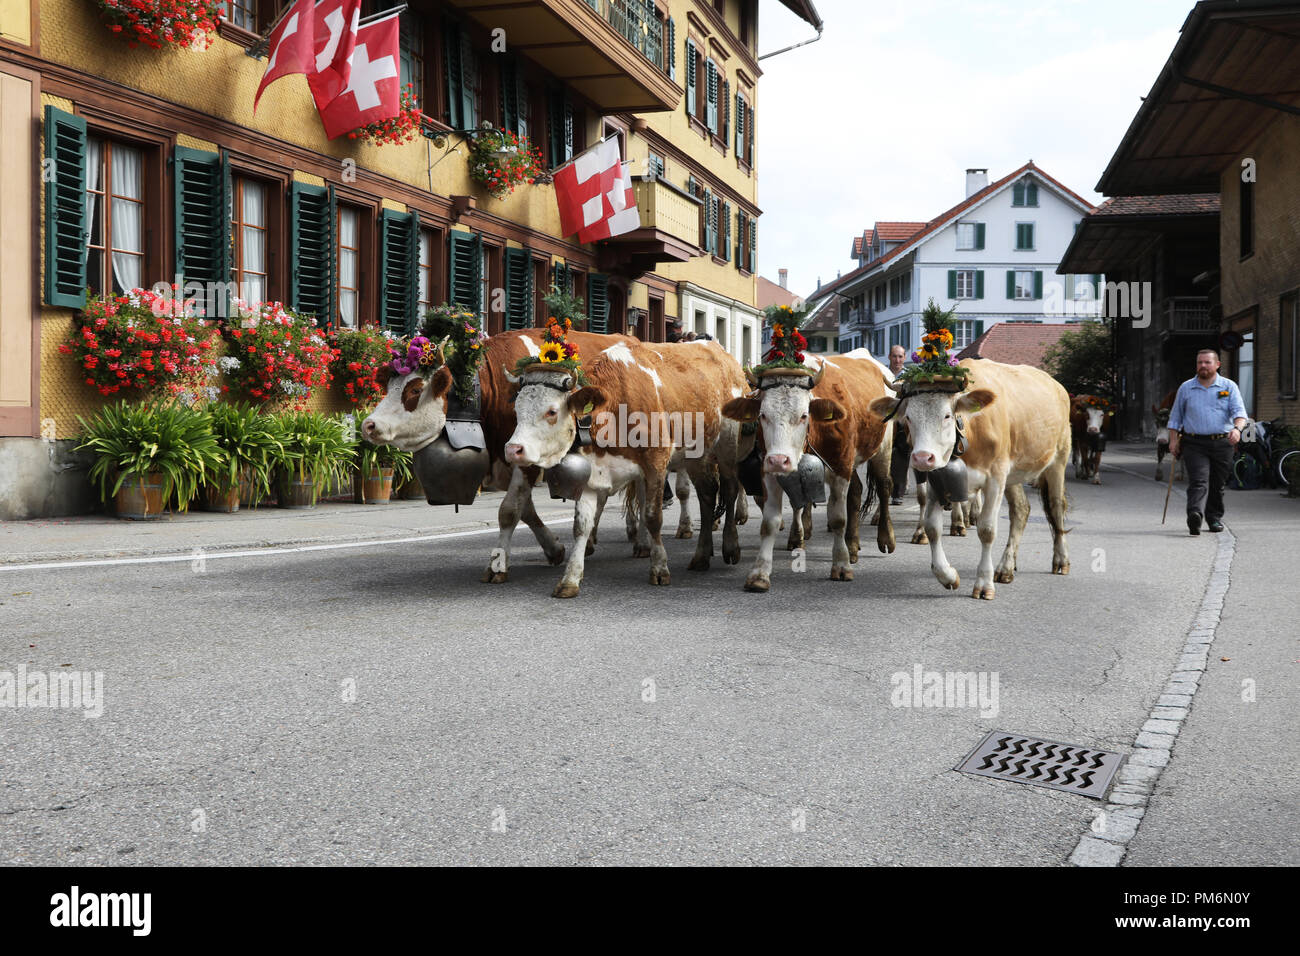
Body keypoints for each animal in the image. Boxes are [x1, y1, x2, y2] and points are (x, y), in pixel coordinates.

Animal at [506, 340, 754, 598]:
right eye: (516, 409)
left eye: (552, 411)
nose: (512, 449)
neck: (616, 407)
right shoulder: (593, 473)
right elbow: (581, 527)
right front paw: (569, 580)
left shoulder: (656, 462)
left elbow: (653, 517)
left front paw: (659, 568)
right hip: (696, 456)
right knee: (707, 495)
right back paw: (701, 556)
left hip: (727, 447)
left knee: (730, 489)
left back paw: (730, 546)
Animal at [722, 351, 894, 590]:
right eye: (762, 415)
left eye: (804, 415)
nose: (779, 460)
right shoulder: (768, 470)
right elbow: (769, 522)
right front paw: (760, 574)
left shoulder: (841, 466)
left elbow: (838, 518)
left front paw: (841, 566)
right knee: (857, 492)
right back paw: (852, 545)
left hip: (882, 448)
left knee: (885, 486)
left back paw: (885, 538)